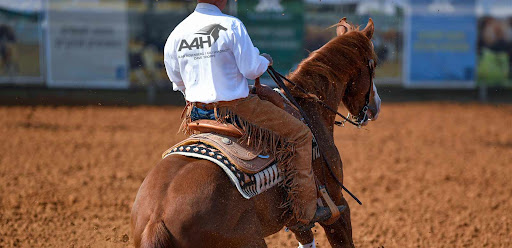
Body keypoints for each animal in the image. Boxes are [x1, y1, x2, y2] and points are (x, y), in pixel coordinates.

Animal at [132, 17, 380, 248]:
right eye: (374, 64)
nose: (375, 108)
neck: (308, 108)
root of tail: (155, 220)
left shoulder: (297, 221)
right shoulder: (337, 205)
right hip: (250, 239)